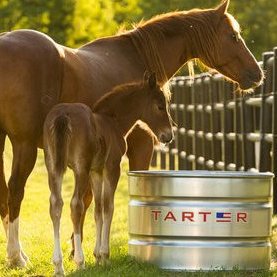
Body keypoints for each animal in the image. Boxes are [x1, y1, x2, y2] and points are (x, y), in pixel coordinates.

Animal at [0, 0, 262, 266]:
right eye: (233, 36)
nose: (257, 74)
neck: (136, 56)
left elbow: (89, 200)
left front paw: (79, 249)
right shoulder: (138, 147)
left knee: (5, 194)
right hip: (24, 145)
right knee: (15, 192)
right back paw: (16, 256)